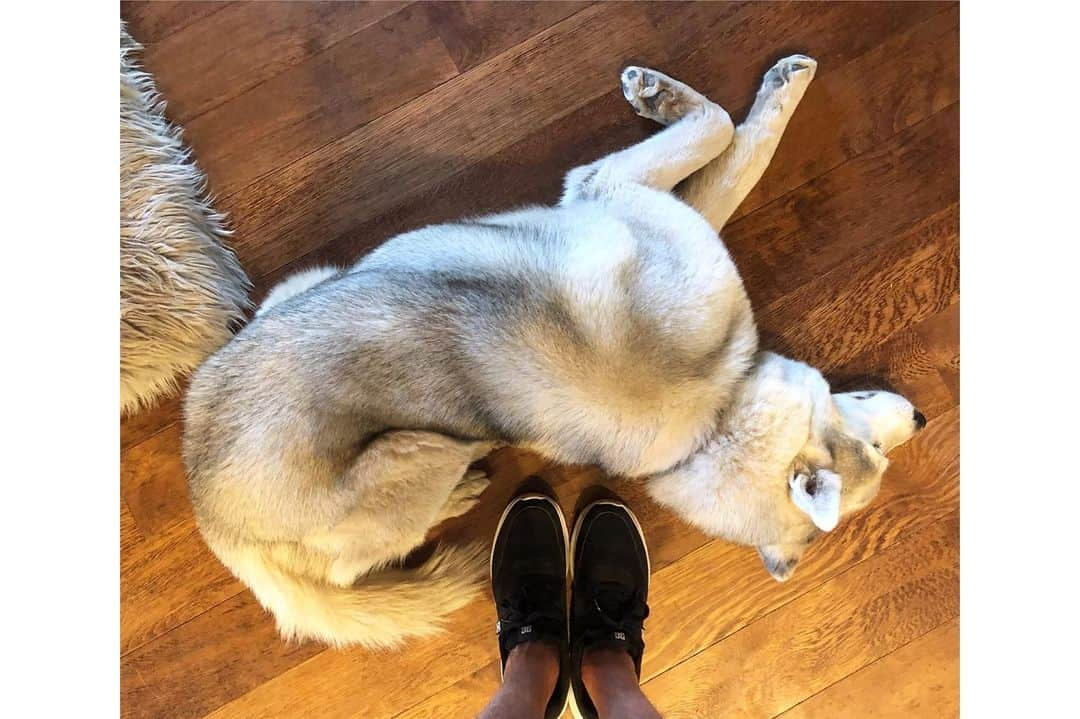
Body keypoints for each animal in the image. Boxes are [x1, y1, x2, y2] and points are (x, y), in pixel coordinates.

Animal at [183, 56, 920, 647]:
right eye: (875, 451)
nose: (922, 420)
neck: (718, 416)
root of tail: (209, 511)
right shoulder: (616, 190)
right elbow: (726, 137)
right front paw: (705, 95)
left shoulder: (628, 199)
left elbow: (728, 149)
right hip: (394, 406)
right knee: (348, 565)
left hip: (355, 345)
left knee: (352, 561)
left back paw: (463, 488)